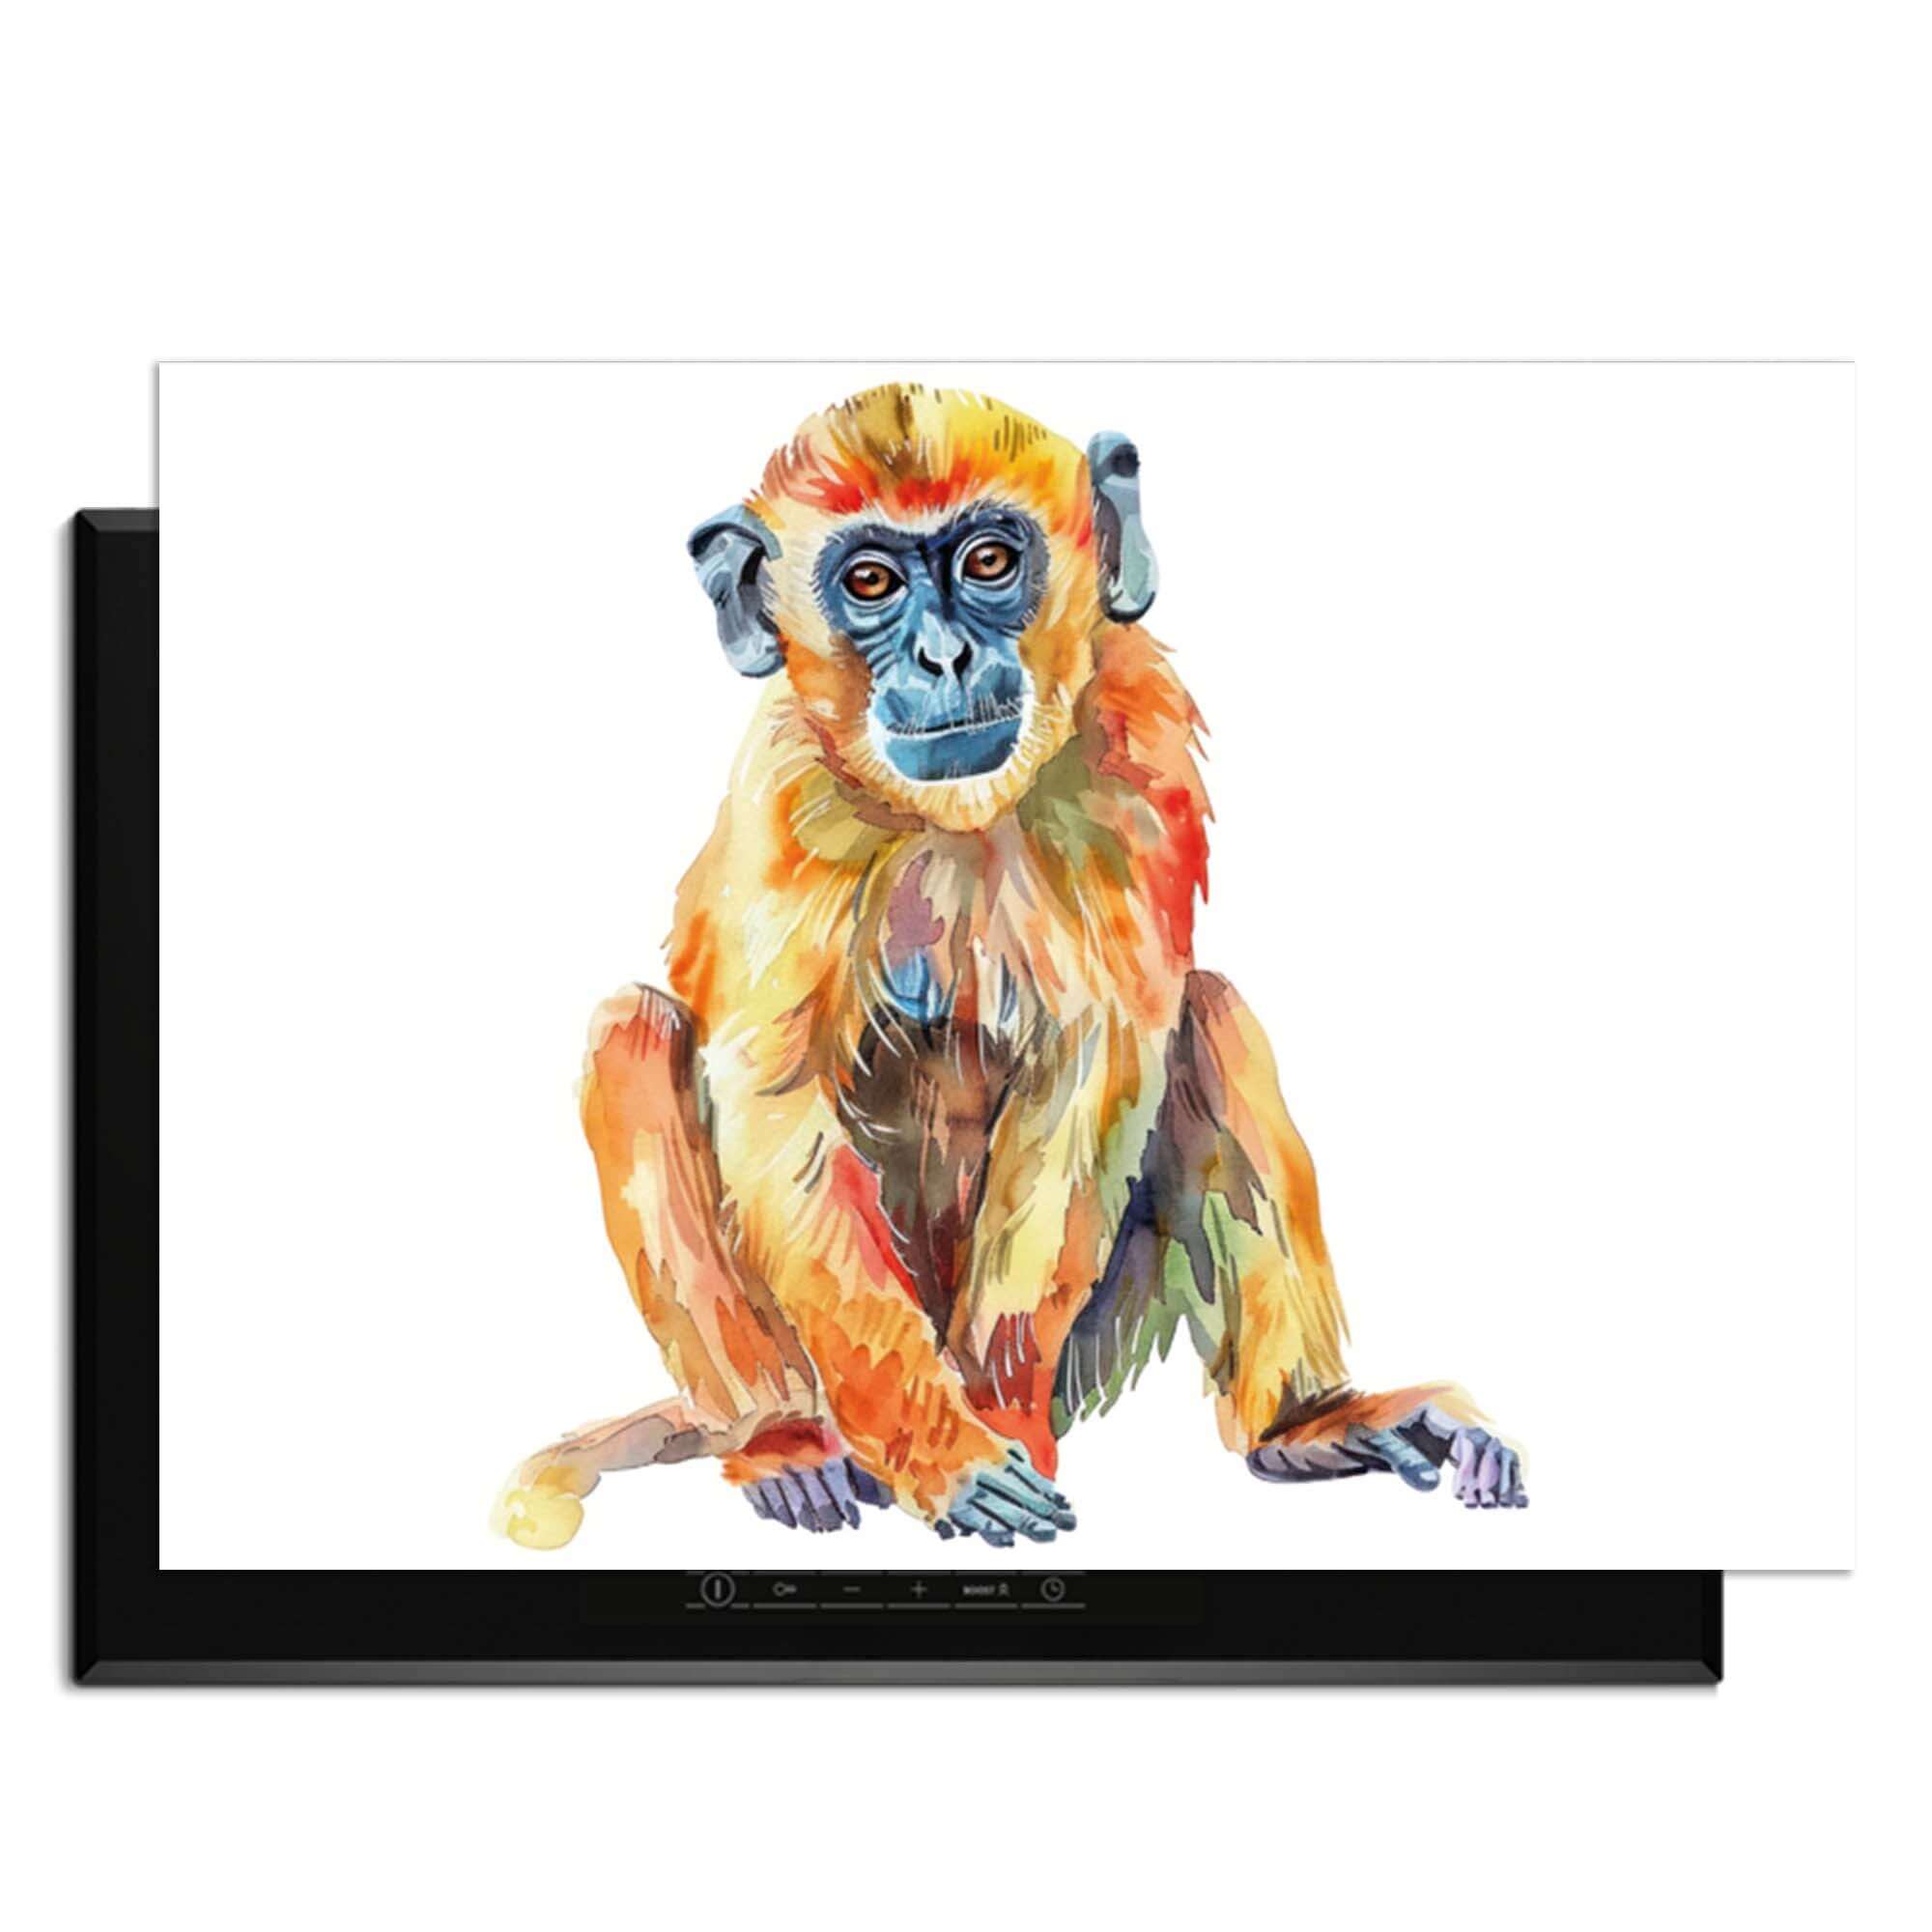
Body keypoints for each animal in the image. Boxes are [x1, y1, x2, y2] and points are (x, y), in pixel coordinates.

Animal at [493, 383, 1525, 1552]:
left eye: (988, 561)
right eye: (870, 582)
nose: (941, 657)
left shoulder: (1138, 753)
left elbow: (1092, 1079)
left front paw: (997, 1423)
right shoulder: (781, 789)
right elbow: (770, 1105)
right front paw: (947, 1457)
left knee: (1208, 1014)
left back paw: (1302, 1426)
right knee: (631, 1031)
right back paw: (786, 1442)